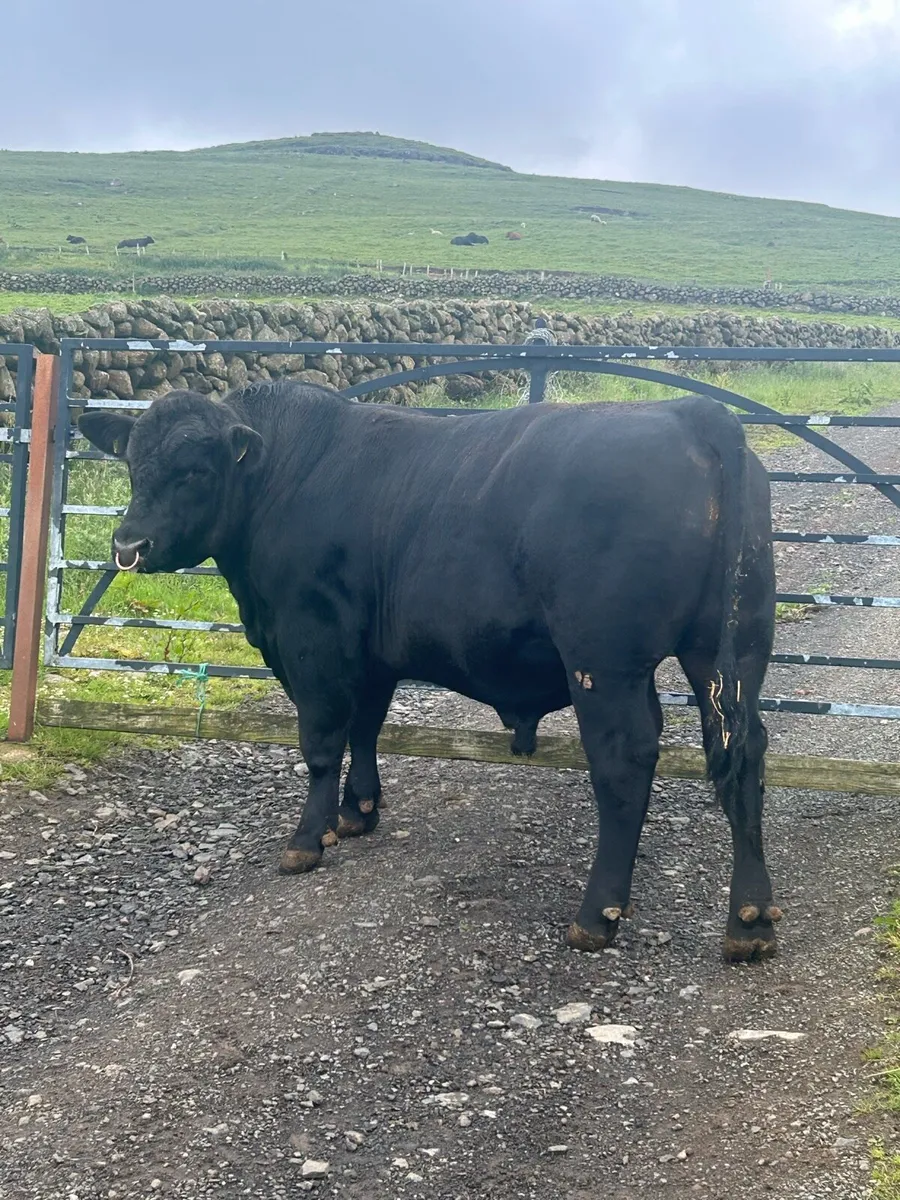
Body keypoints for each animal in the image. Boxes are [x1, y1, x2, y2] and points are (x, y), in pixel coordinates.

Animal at [79, 382, 779, 963]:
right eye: (133, 466)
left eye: (195, 470)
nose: (128, 545)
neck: (284, 475)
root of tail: (693, 413)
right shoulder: (371, 653)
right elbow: (366, 727)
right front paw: (357, 812)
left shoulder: (313, 641)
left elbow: (321, 743)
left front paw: (307, 839)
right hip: (732, 653)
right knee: (744, 752)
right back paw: (750, 920)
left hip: (605, 663)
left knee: (624, 763)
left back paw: (596, 915)